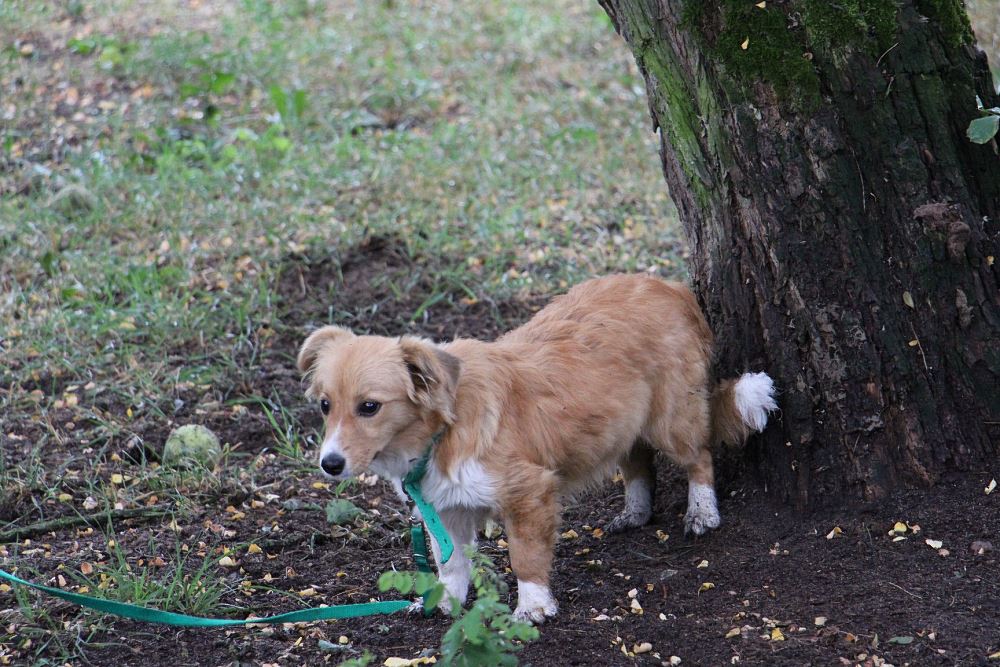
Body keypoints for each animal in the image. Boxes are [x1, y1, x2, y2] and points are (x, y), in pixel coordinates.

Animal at [297, 274, 776, 623]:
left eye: (370, 407)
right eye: (325, 405)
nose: (330, 464)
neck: (445, 427)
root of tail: (671, 287)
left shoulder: (528, 493)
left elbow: (524, 557)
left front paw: (533, 608)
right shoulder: (446, 508)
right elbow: (451, 565)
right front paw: (445, 603)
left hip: (671, 419)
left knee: (699, 457)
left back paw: (702, 511)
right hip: (620, 421)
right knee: (639, 463)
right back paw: (636, 511)